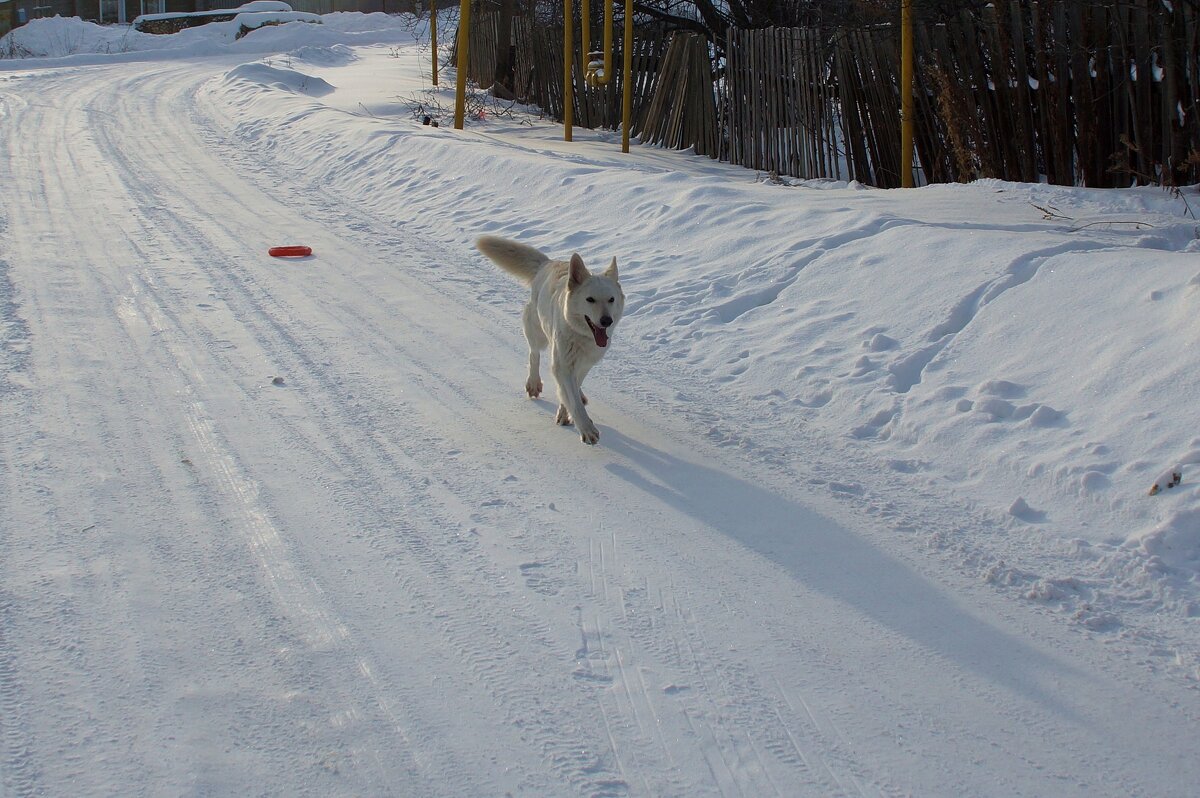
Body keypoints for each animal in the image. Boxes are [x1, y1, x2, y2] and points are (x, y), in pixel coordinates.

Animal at [475, 236, 624, 448]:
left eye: (611, 299)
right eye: (590, 299)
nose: (606, 321)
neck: (580, 336)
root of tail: (548, 263)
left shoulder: (584, 364)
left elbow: (571, 391)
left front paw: (565, 413)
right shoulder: (562, 364)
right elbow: (572, 399)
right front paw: (586, 429)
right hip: (537, 332)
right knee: (533, 354)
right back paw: (533, 383)